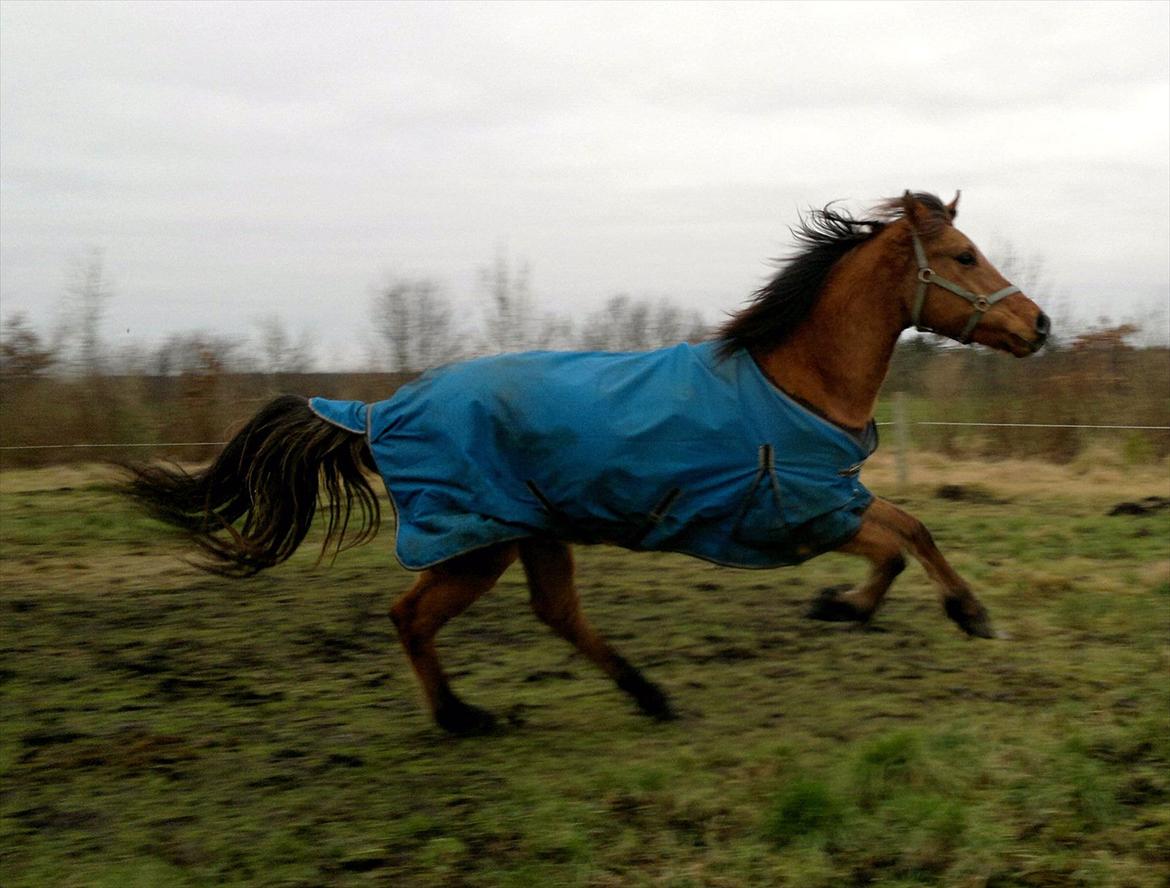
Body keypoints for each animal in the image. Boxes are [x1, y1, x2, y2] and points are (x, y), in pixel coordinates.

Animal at [125, 193, 1053, 734]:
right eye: (965, 256)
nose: (1040, 325)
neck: (800, 380)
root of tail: (383, 410)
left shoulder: (828, 507)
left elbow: (904, 539)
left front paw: (844, 608)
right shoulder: (812, 508)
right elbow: (910, 535)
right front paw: (963, 615)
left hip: (534, 532)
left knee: (552, 615)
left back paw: (646, 695)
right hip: (480, 541)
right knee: (412, 616)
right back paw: (465, 717)